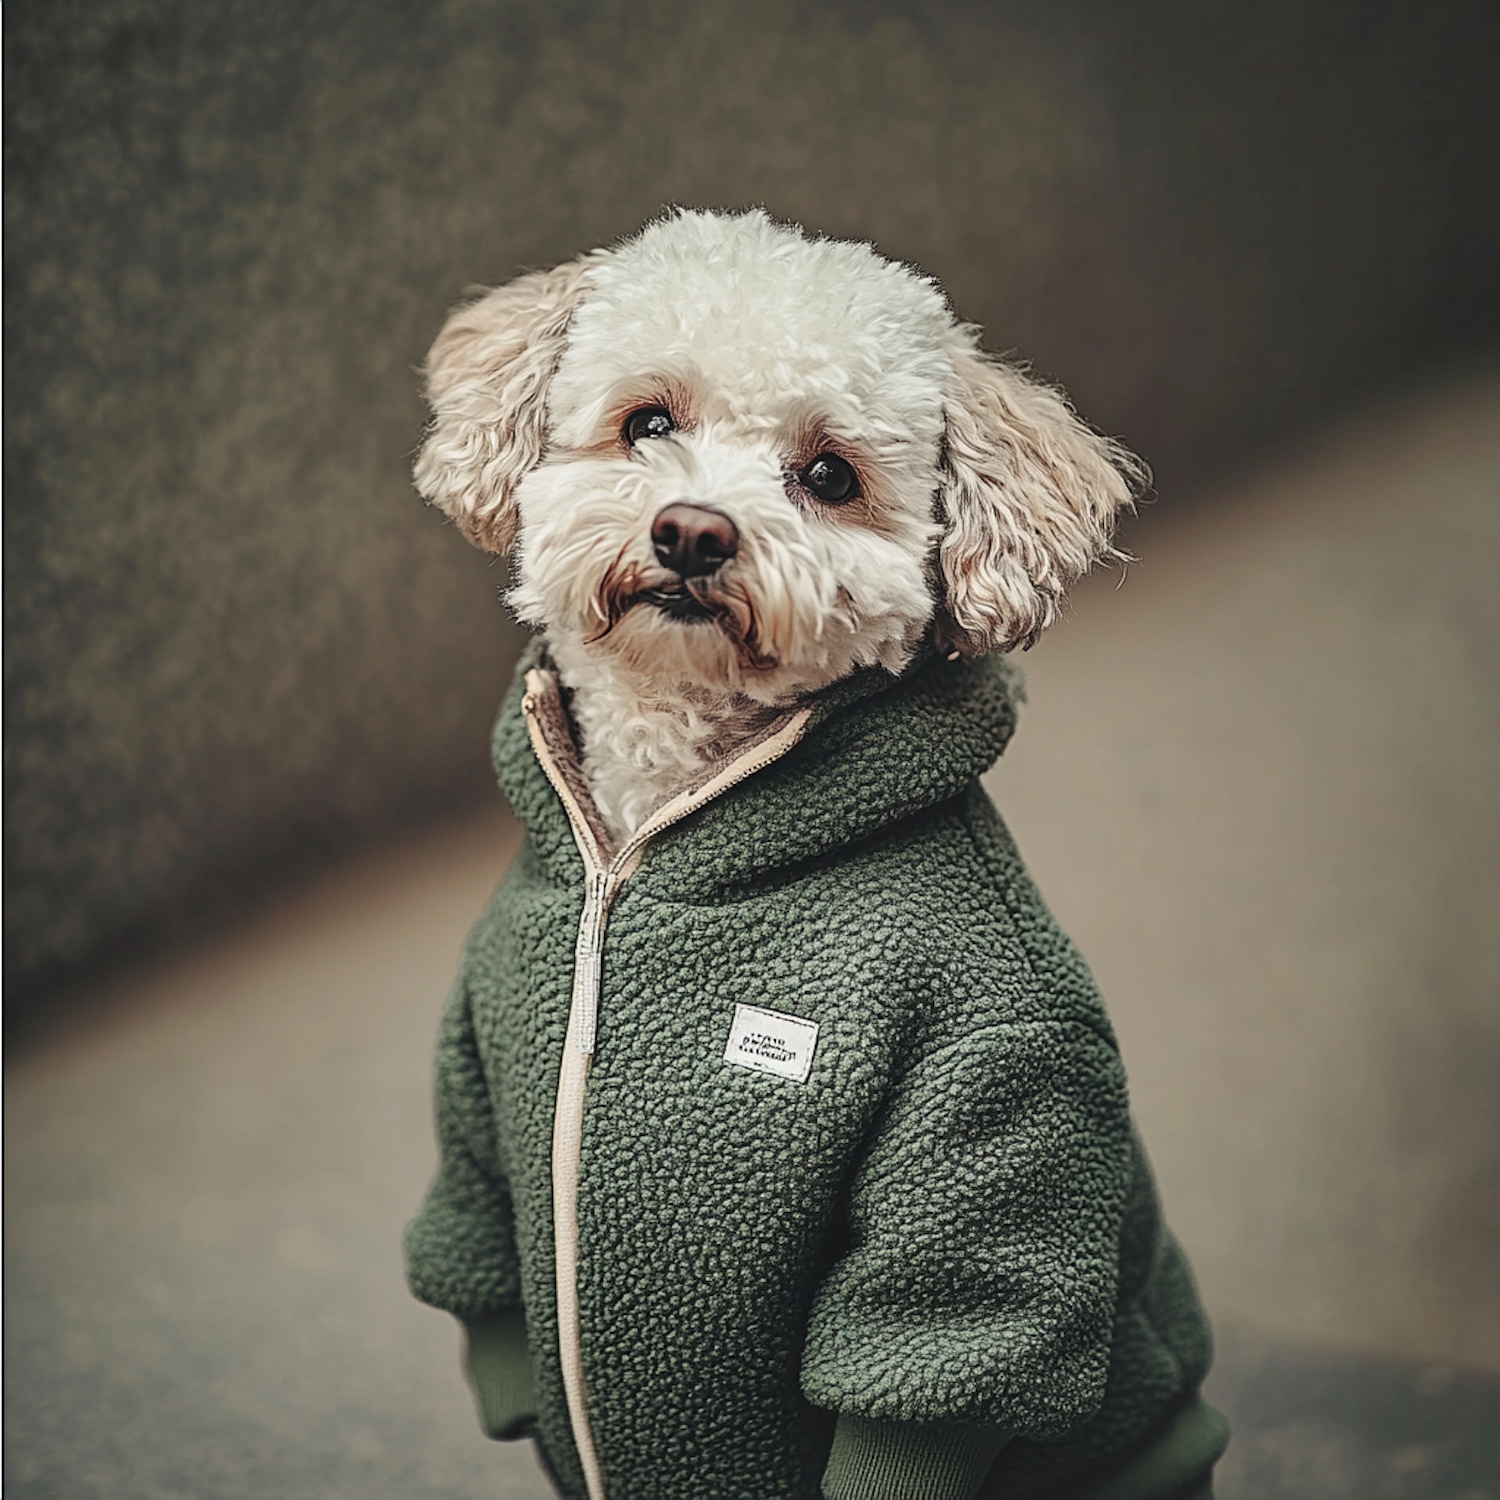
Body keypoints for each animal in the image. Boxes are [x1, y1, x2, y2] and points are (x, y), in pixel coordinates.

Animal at [405, 208, 1224, 1500]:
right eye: (648, 422)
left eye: (829, 475)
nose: (693, 532)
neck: (635, 856)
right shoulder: (481, 1085)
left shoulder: (993, 1101)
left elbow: (938, 1331)